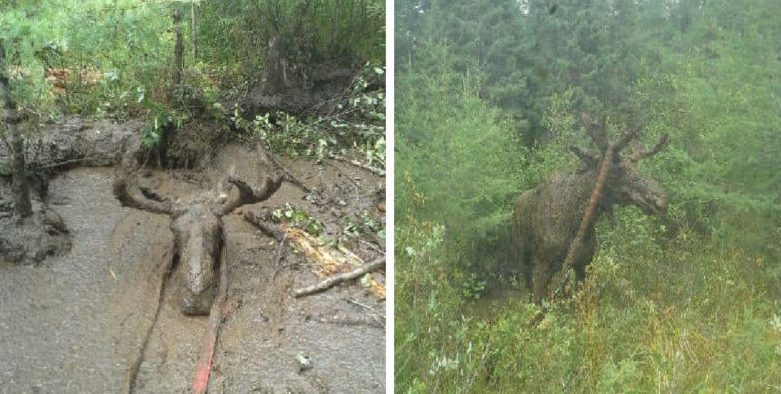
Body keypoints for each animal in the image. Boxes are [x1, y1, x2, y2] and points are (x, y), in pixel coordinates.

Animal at [512, 112, 672, 304]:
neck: (577, 221)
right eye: (616, 169)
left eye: (634, 166)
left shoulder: (584, 263)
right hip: (523, 256)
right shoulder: (543, 266)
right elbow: (538, 303)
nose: (661, 199)